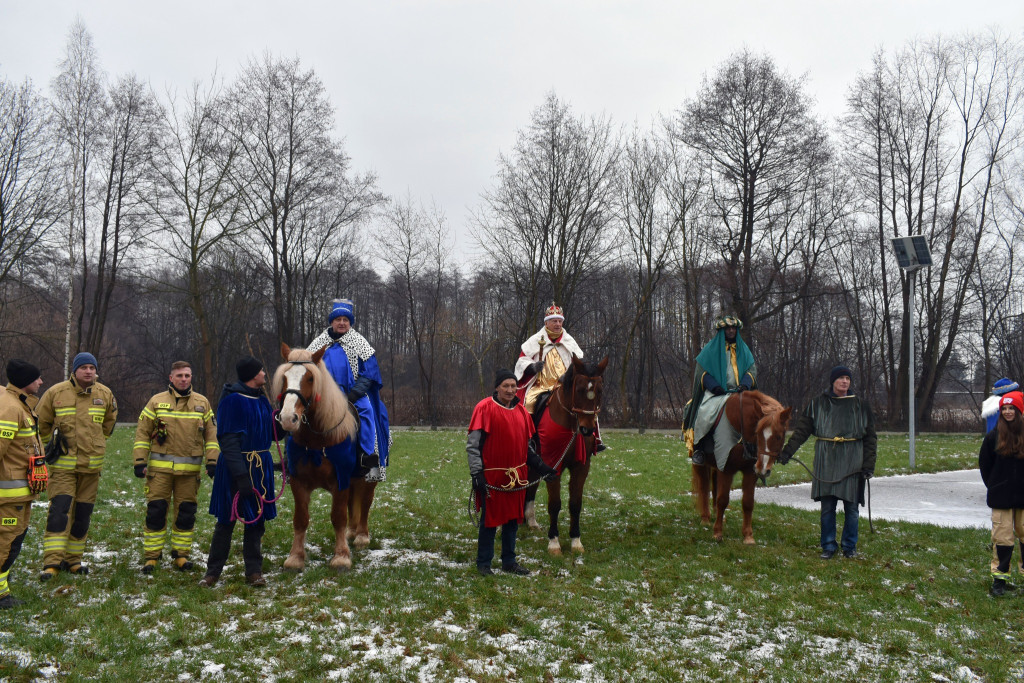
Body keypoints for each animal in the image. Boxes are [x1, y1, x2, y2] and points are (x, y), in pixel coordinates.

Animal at [272, 342, 376, 573]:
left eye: (310, 378)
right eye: (285, 377)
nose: (288, 418)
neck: (316, 440)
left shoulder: (341, 480)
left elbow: (338, 517)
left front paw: (341, 557)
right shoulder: (299, 482)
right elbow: (301, 519)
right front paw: (295, 557)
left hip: (370, 476)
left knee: (365, 503)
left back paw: (362, 536)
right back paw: (352, 532)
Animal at [528, 356, 606, 557]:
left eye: (600, 390)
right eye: (578, 390)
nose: (587, 429)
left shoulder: (581, 467)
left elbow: (575, 504)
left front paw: (576, 541)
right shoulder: (552, 466)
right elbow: (554, 504)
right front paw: (554, 543)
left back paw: (529, 521)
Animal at [692, 389, 794, 544]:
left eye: (779, 436)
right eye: (758, 433)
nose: (762, 469)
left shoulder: (749, 472)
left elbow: (748, 503)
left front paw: (748, 536)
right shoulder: (726, 469)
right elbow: (723, 500)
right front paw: (717, 533)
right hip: (701, 463)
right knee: (704, 487)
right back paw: (706, 519)